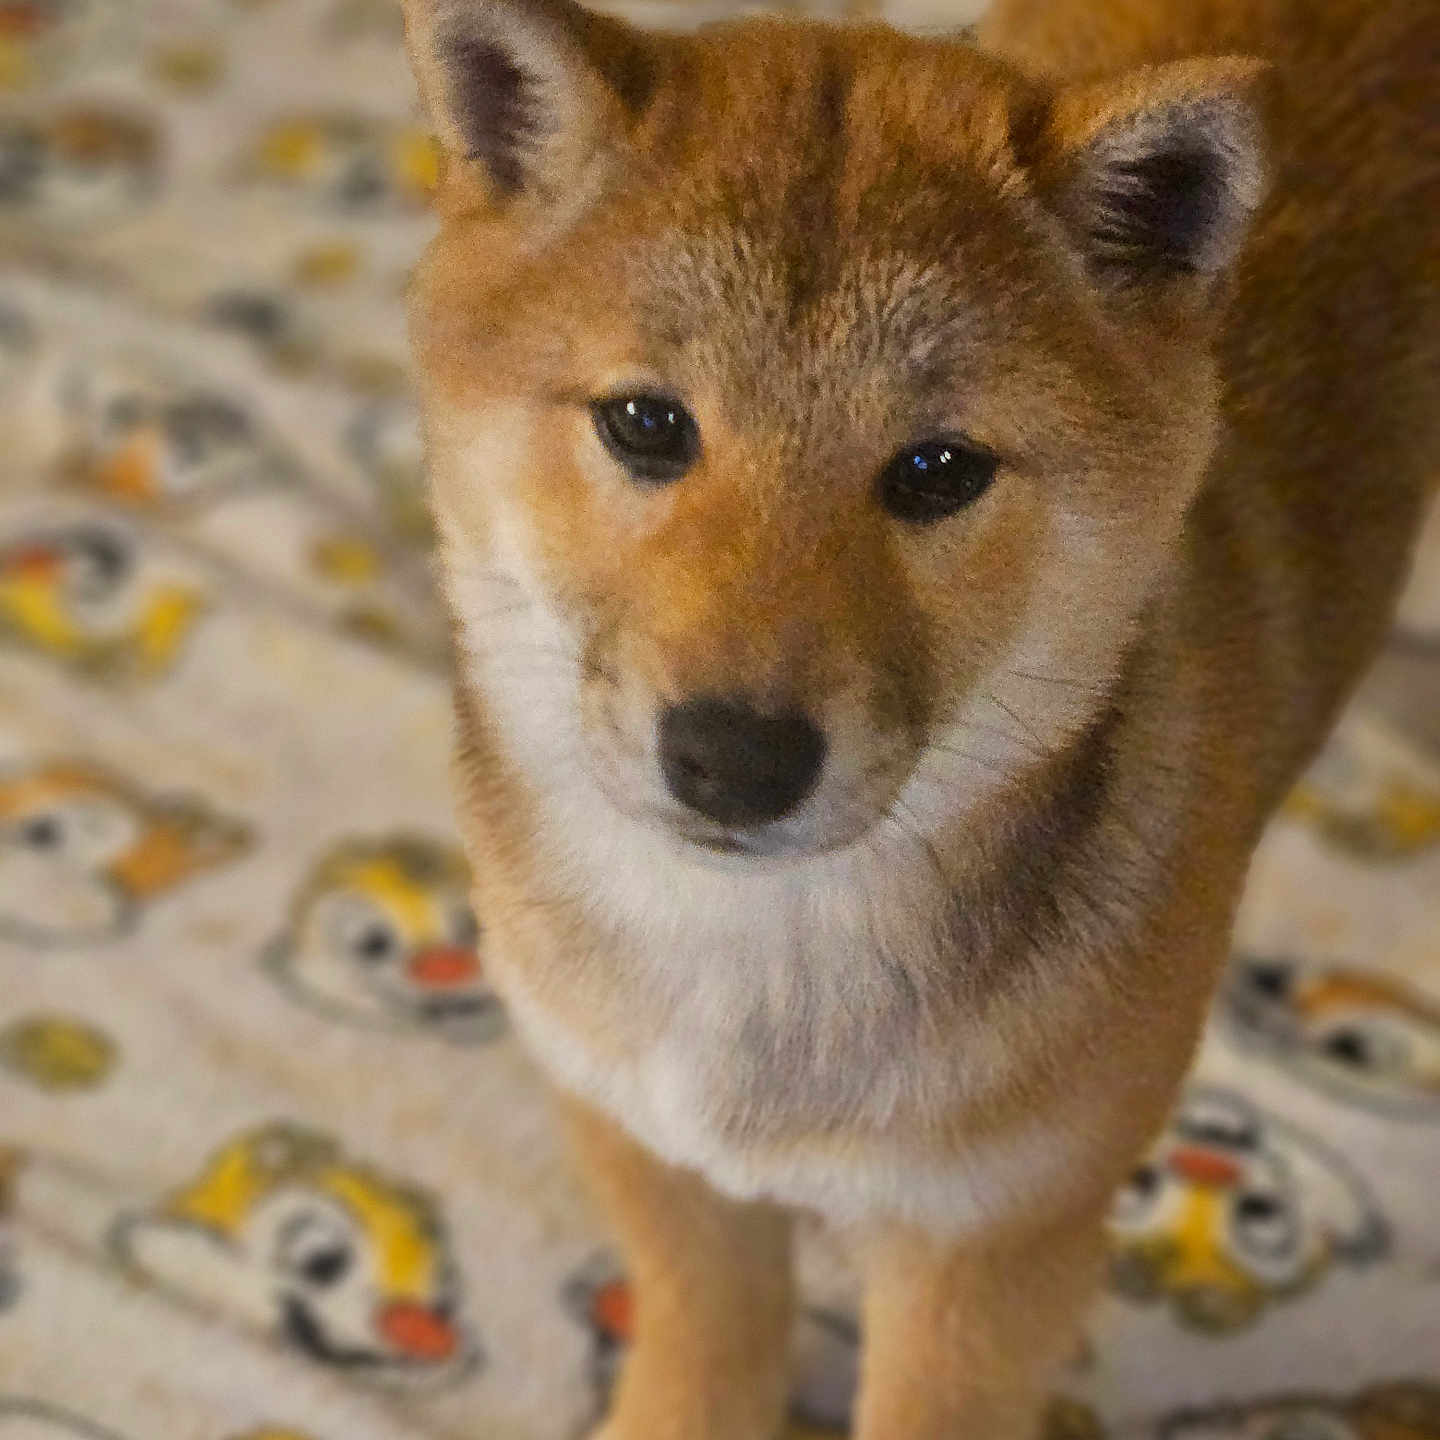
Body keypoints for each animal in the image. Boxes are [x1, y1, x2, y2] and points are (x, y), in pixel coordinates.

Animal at [401, 0, 1439, 1434]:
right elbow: (700, 1363)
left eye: (940, 469)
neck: (762, 966)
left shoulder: (991, 1245)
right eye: (646, 423)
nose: (736, 759)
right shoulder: (653, 1153)